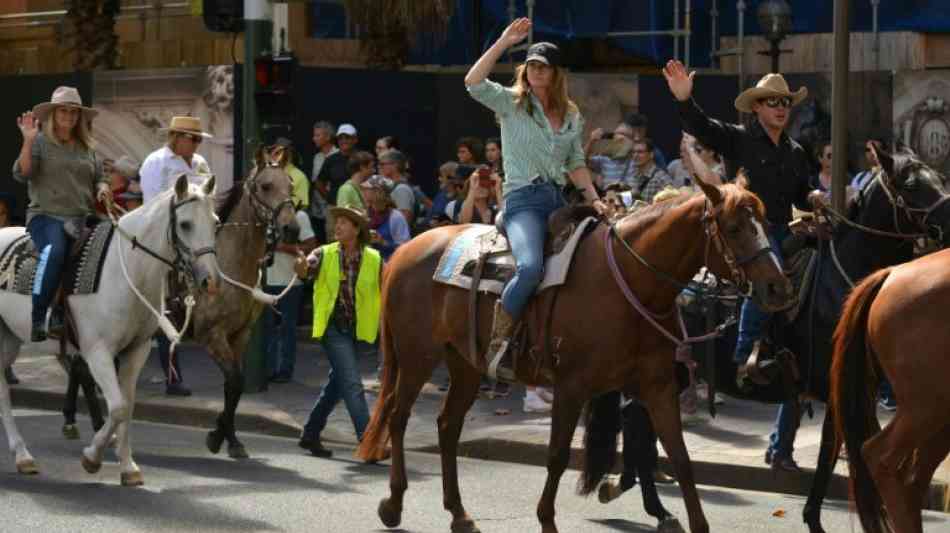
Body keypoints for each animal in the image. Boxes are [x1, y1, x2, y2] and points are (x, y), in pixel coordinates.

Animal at [0, 175, 219, 486]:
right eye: (186, 224)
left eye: (215, 222)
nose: (210, 281)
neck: (127, 273)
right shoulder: (97, 352)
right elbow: (116, 407)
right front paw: (92, 457)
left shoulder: (136, 351)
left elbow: (127, 407)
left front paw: (128, 467)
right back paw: (23, 455)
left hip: (10, 337)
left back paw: (24, 456)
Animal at [356, 178, 796, 532]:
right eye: (735, 228)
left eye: (764, 222)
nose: (778, 288)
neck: (630, 280)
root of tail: (407, 249)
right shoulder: (571, 387)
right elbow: (557, 456)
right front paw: (548, 520)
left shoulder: (657, 387)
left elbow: (680, 458)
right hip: (416, 356)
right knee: (397, 417)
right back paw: (393, 503)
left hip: (464, 363)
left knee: (448, 425)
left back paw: (459, 514)